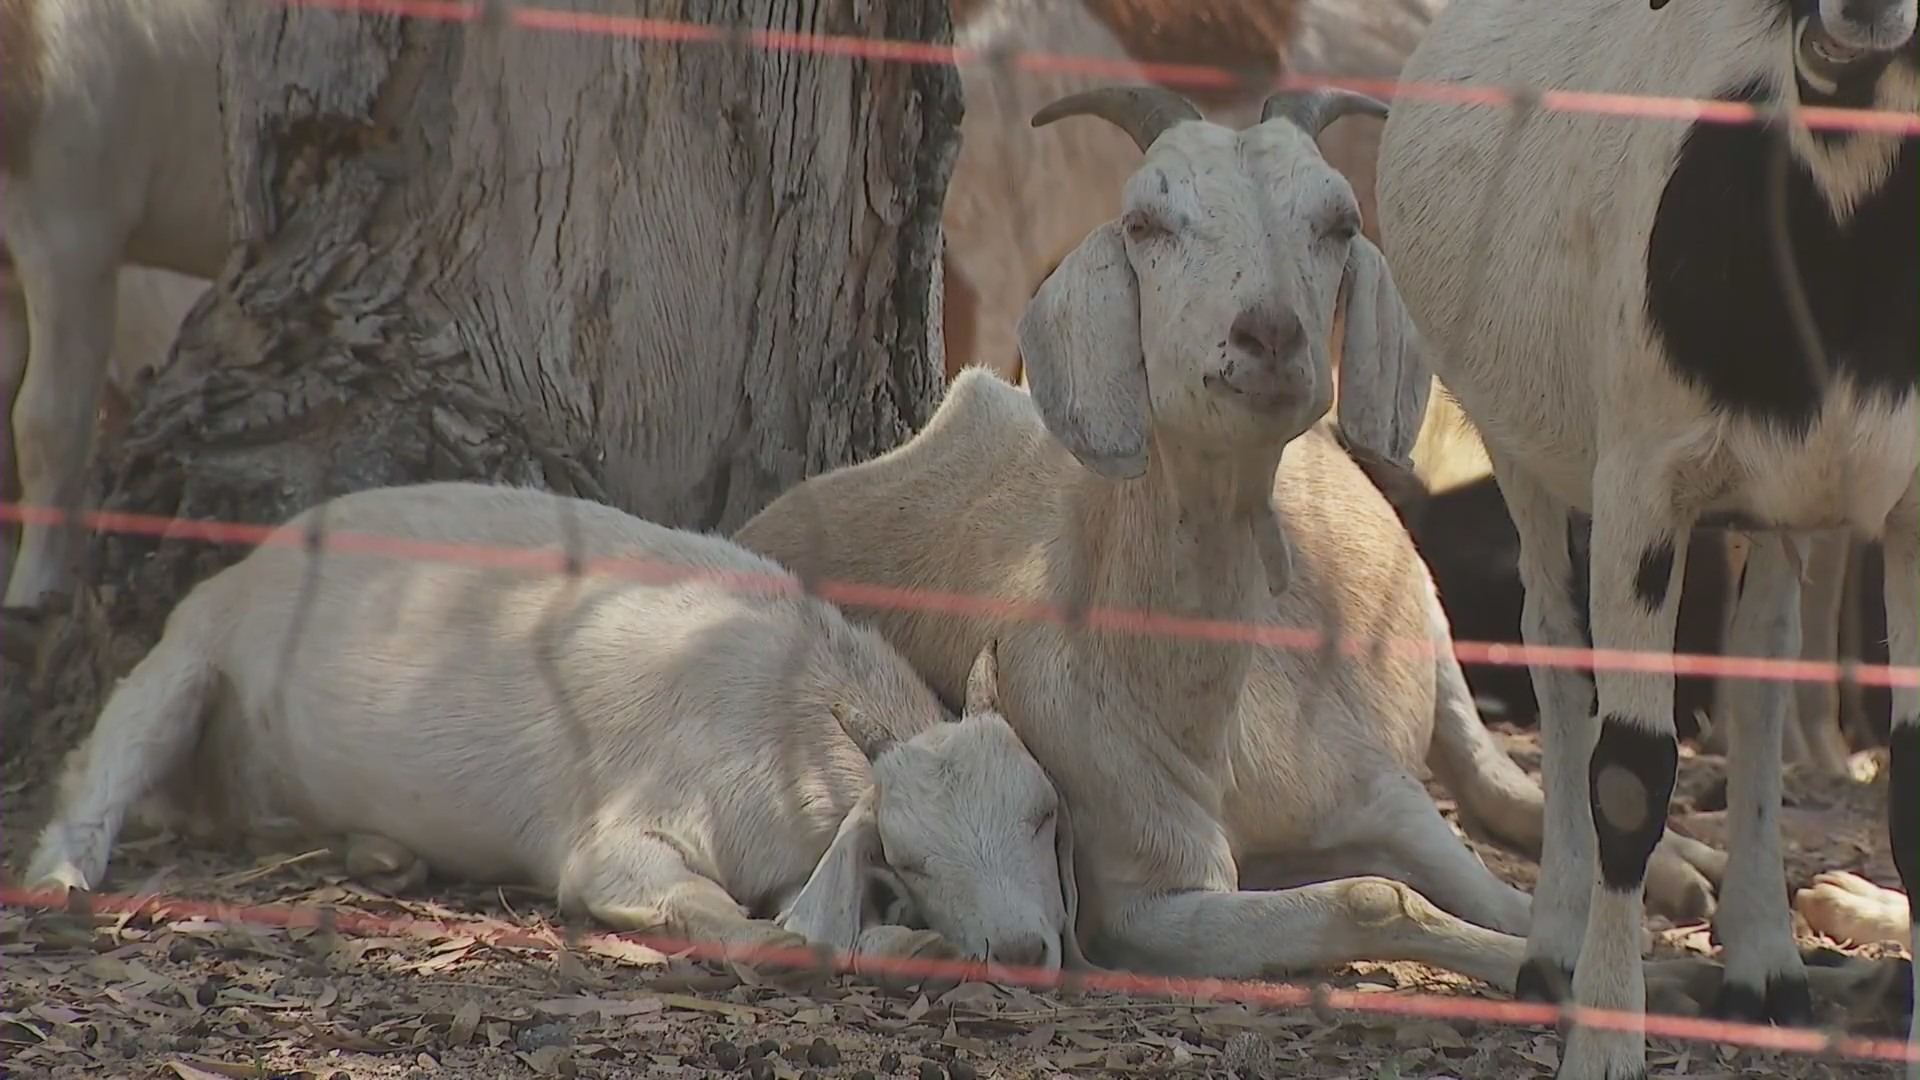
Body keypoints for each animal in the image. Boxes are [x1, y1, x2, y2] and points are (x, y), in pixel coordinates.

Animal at [30, 480, 1090, 976]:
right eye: (908, 857)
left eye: (1045, 818)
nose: (1022, 950)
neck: (790, 711)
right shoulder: (620, 840)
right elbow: (735, 919)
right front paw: (909, 948)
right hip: (190, 653)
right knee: (97, 764)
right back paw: (57, 881)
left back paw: (382, 855)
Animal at [737, 84, 1728, 999]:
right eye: (1144, 220)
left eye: (1338, 221)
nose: (1270, 334)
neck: (1199, 711)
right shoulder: (1144, 898)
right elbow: (1375, 898)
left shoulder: (1380, 792)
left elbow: (1482, 886)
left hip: (1428, 620)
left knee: (1495, 773)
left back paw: (1690, 868)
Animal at [1374, 2, 1912, 1076]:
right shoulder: (1641, 488)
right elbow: (1626, 775)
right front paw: (1607, 1037)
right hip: (1523, 447)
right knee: (1554, 648)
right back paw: (1554, 956)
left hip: (1772, 510)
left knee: (1760, 674)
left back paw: (1766, 967)